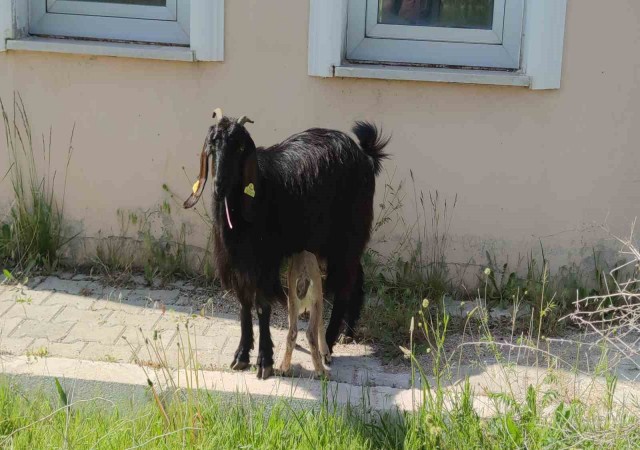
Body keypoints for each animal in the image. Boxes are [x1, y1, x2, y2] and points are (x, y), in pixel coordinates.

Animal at [182, 110, 388, 380]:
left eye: (240, 147)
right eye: (212, 144)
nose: (219, 186)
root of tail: (364, 156)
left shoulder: (265, 261)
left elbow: (262, 307)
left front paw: (265, 361)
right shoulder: (238, 263)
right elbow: (244, 306)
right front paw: (241, 356)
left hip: (348, 234)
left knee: (344, 284)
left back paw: (328, 343)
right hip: (339, 242)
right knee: (356, 275)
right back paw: (348, 333)